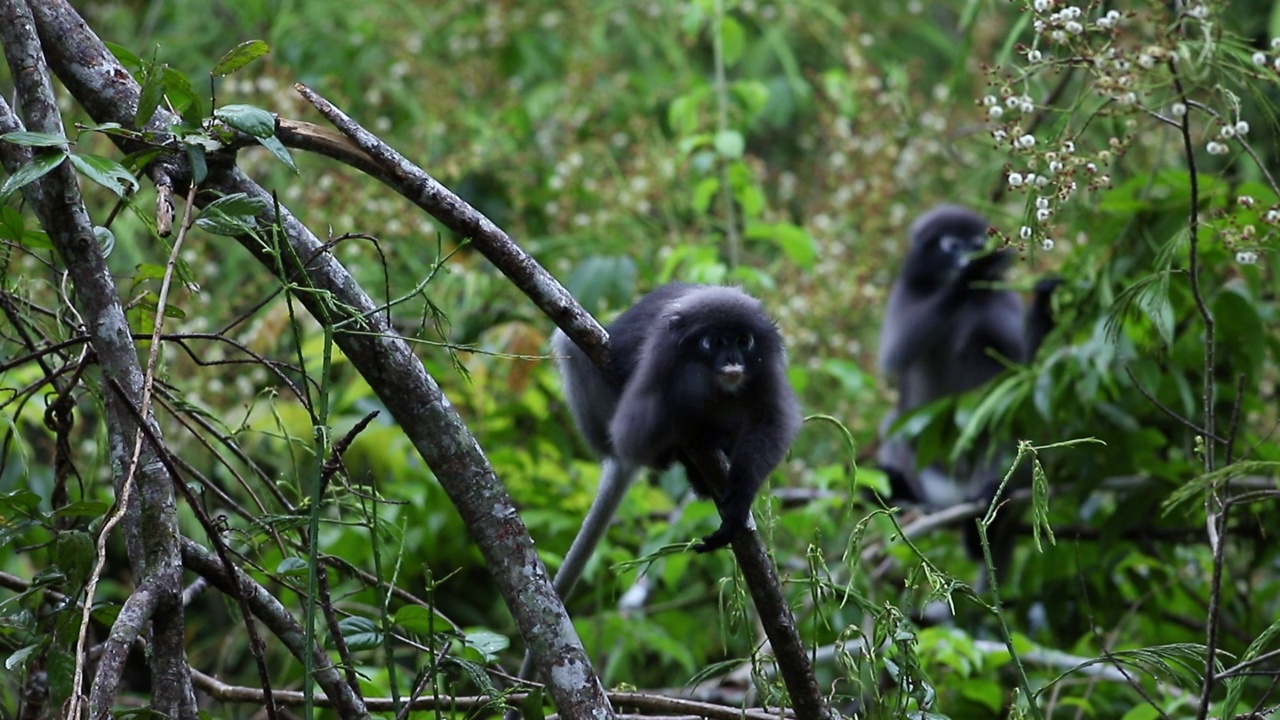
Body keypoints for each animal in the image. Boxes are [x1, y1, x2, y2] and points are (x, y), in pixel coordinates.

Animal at [880, 207, 1059, 566]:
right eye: (952, 245)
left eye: (976, 243)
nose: (967, 258)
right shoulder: (906, 293)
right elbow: (897, 350)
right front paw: (969, 275)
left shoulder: (1000, 299)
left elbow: (1023, 369)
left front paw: (1044, 301)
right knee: (894, 422)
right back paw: (904, 494)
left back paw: (989, 501)